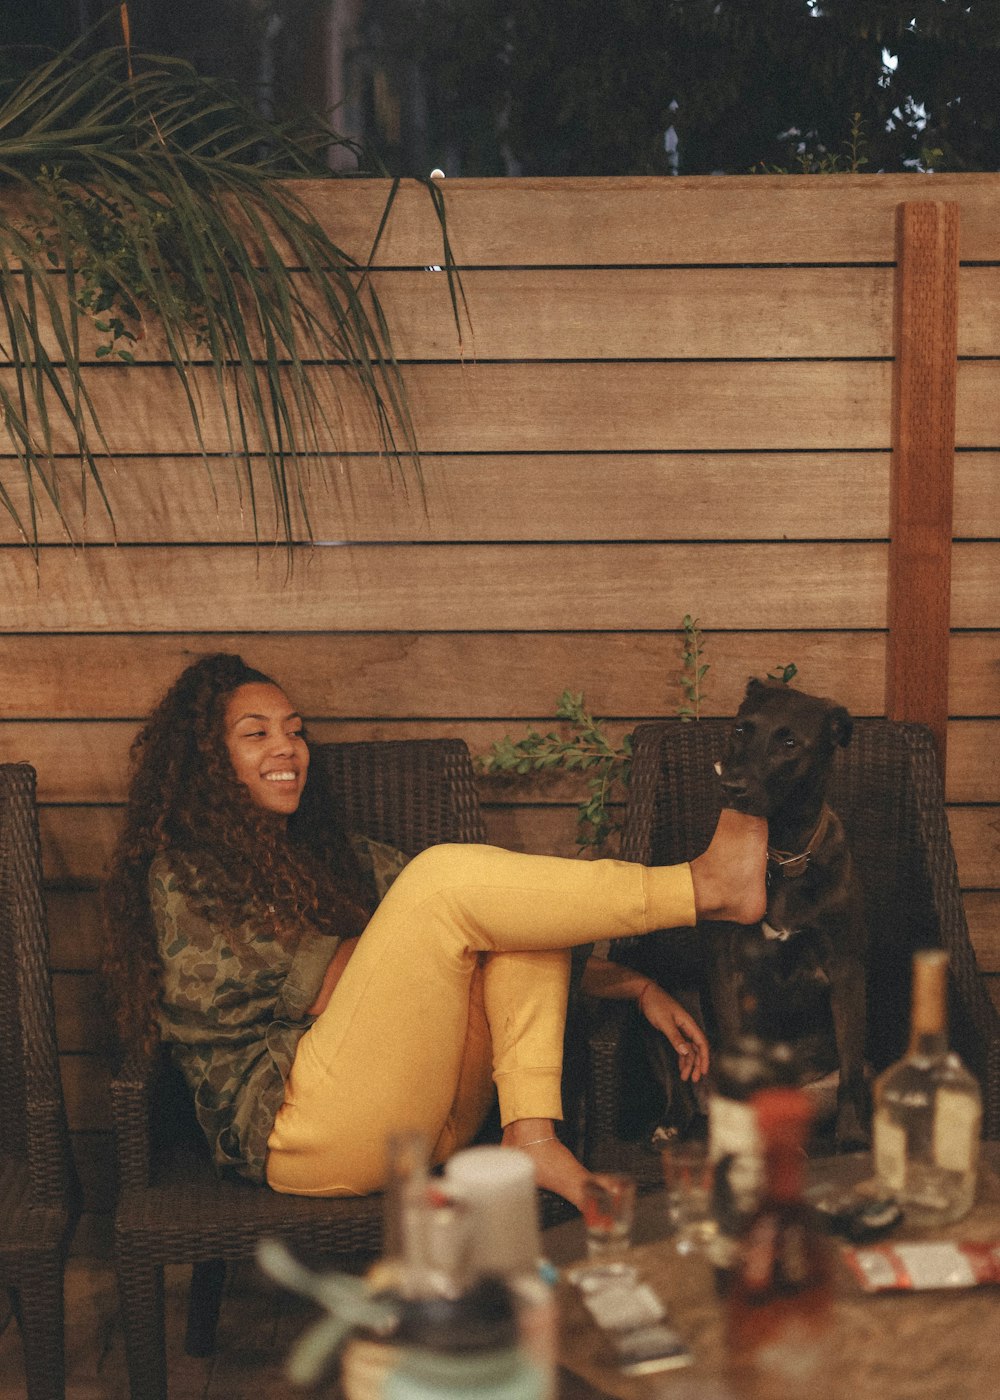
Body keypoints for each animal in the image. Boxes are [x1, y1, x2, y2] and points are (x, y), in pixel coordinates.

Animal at [708, 677, 862, 1148]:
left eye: (789, 742)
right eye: (741, 730)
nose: (732, 787)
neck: (781, 857)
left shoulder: (845, 969)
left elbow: (851, 1064)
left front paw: (852, 1135)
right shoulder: (728, 970)